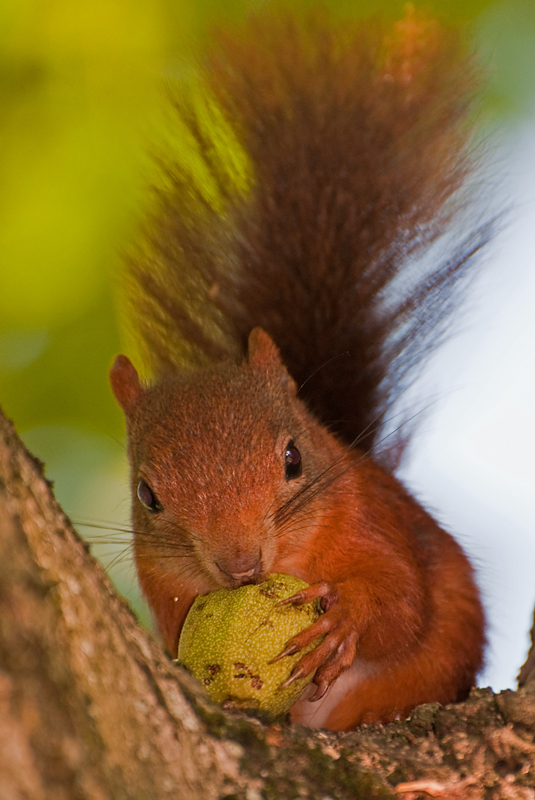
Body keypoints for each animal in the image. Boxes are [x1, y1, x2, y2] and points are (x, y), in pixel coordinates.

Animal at [109, 7, 490, 732]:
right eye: (148, 495)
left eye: (293, 458)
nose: (238, 564)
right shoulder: (163, 582)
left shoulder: (375, 525)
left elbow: (402, 606)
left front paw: (346, 619)